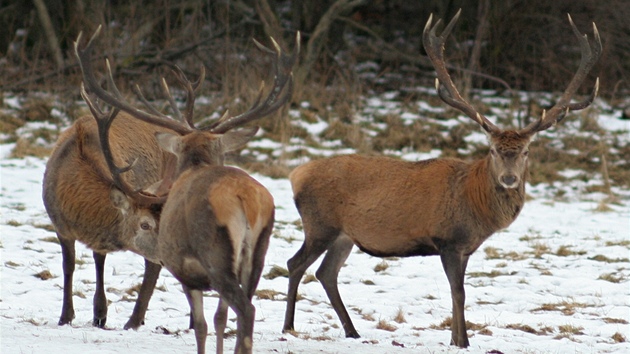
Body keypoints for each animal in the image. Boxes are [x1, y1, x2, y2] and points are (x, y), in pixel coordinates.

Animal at [73, 25, 300, 354]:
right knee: (243, 306)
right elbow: (219, 320)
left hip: (216, 255)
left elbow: (202, 325)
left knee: (246, 310)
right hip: (258, 254)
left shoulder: (184, 269)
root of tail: (245, 200)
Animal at [282, 11, 604, 348]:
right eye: (492, 149)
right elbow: (458, 293)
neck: (475, 205)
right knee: (296, 263)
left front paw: (455, 338)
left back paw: (352, 331)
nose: (509, 178)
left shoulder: (465, 248)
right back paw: (289, 326)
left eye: (526, 151)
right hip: (320, 224)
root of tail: (296, 175)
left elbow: (456, 293)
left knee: (325, 273)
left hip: (344, 235)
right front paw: (463, 342)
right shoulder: (447, 239)